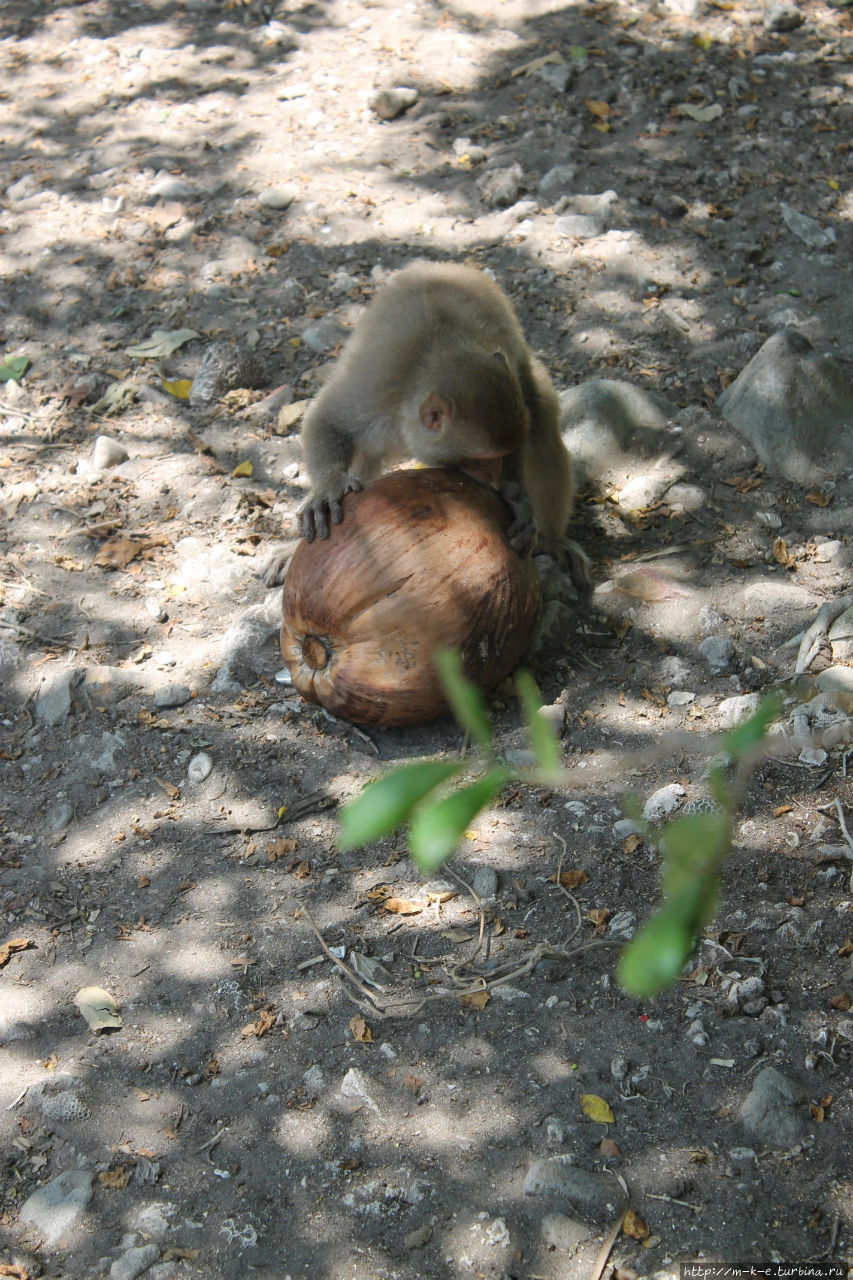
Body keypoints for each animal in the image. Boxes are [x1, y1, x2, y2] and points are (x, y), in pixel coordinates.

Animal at [262, 263, 589, 588]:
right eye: (481, 459)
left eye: (501, 456)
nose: (493, 474)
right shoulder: (372, 392)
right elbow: (325, 419)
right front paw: (330, 485)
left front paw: (517, 501)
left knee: (542, 420)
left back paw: (552, 539)